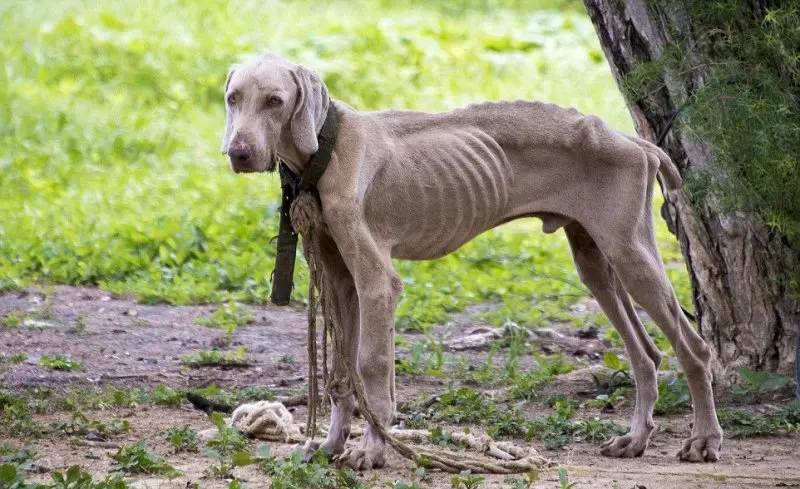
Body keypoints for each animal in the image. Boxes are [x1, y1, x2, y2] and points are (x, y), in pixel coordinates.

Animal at [220, 51, 724, 468]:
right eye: (233, 98)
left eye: (275, 101)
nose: (238, 153)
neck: (326, 149)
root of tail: (637, 143)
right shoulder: (339, 280)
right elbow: (342, 372)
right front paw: (330, 444)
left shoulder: (378, 282)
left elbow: (371, 365)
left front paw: (372, 450)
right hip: (596, 262)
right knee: (647, 355)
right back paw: (635, 440)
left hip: (629, 253)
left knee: (695, 349)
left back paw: (704, 440)